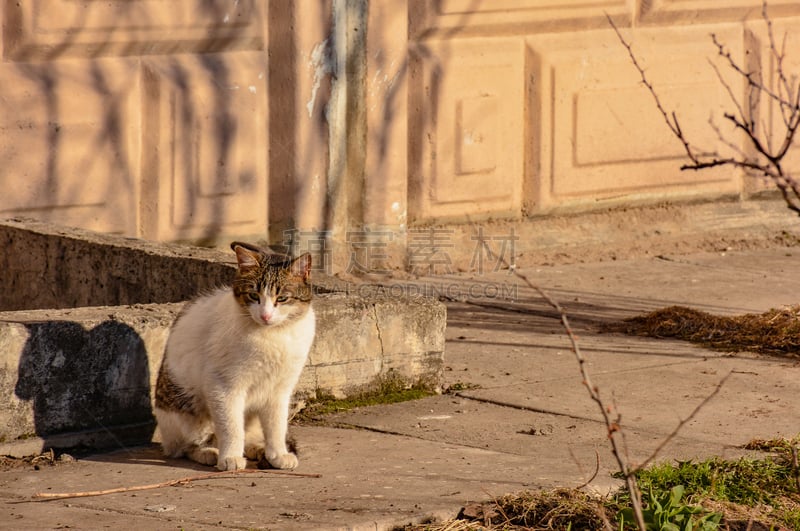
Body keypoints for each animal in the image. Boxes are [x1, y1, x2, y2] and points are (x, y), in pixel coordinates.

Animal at [153, 241, 316, 470]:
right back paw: (208, 452)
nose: (266, 315)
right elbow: (231, 426)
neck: (273, 335)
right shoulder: (223, 385)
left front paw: (277, 454)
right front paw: (230, 457)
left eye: (282, 298)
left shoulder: (280, 389)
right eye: (253, 296)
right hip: (188, 411)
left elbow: (276, 425)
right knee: (186, 446)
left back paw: (257, 449)